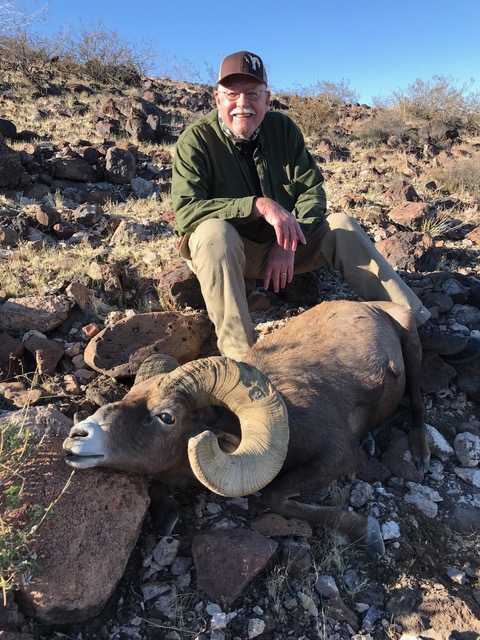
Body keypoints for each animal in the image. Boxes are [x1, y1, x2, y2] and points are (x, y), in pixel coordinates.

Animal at [64, 300, 432, 556]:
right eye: (129, 394)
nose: (76, 438)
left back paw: (419, 452)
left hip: (413, 346)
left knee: (417, 402)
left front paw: (367, 532)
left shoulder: (338, 457)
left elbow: (275, 497)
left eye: (167, 417)